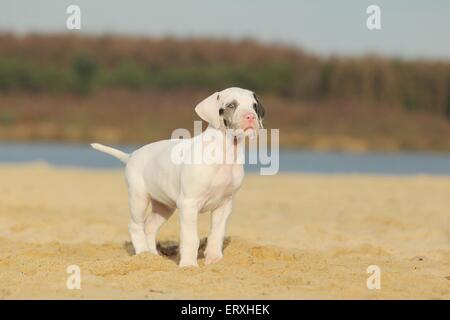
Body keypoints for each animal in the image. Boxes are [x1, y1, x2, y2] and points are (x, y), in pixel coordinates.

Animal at [93, 87, 266, 268]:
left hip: (164, 206)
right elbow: (190, 238)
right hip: (138, 197)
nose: (251, 117)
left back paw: (151, 257)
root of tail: (131, 155)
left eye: (254, 106)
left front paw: (214, 258)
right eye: (232, 105)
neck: (225, 151)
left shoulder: (224, 205)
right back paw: (142, 253)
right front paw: (189, 265)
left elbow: (216, 233)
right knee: (135, 226)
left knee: (149, 227)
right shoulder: (189, 203)